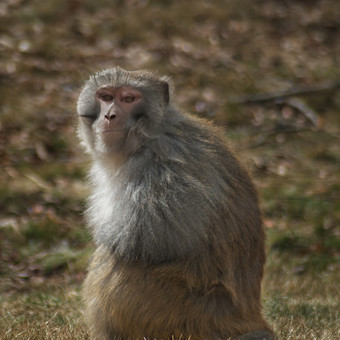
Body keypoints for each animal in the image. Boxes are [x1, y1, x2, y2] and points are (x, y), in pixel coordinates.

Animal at [76, 67, 274, 340]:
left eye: (129, 99)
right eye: (105, 96)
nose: (110, 115)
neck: (147, 137)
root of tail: (248, 319)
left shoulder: (164, 166)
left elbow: (148, 240)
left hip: (187, 315)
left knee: (113, 260)